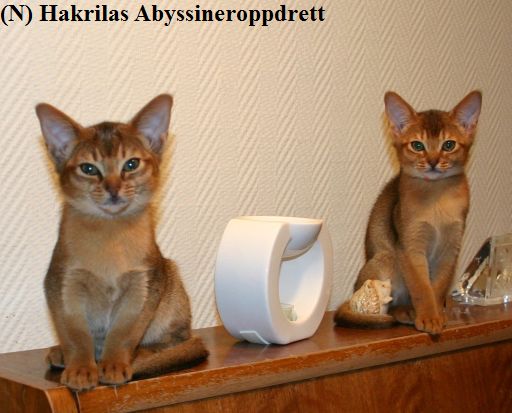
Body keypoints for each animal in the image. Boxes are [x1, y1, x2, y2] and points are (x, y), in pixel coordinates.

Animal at [36, 94, 208, 391]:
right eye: (88, 168)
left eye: (131, 164)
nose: (113, 189)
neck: (110, 236)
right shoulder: (64, 283)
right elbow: (75, 335)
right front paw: (80, 369)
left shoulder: (143, 285)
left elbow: (123, 334)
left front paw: (114, 365)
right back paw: (62, 354)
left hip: (170, 281)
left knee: (178, 341)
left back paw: (143, 355)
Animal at [335, 90, 482, 334]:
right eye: (417, 145)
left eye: (449, 144)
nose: (433, 162)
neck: (436, 199)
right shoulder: (410, 246)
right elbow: (422, 287)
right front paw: (429, 318)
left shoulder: (450, 249)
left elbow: (437, 287)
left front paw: (438, 315)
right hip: (387, 258)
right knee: (390, 303)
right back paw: (405, 312)